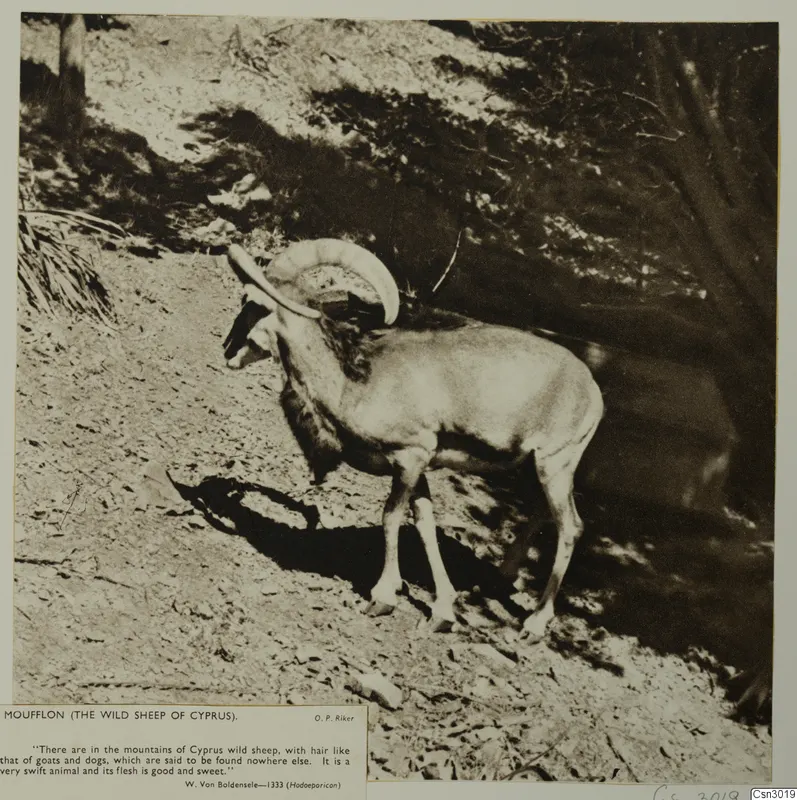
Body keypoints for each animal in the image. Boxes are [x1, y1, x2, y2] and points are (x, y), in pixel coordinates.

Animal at [222, 238, 604, 641]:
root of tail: (591, 391)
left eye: (252, 303)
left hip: (556, 464)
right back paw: (499, 578)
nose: (228, 351)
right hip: (536, 469)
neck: (354, 382)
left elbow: (391, 517)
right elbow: (424, 523)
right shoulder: (418, 468)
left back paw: (534, 624)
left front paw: (382, 597)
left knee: (570, 528)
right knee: (541, 514)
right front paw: (441, 612)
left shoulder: (409, 459)